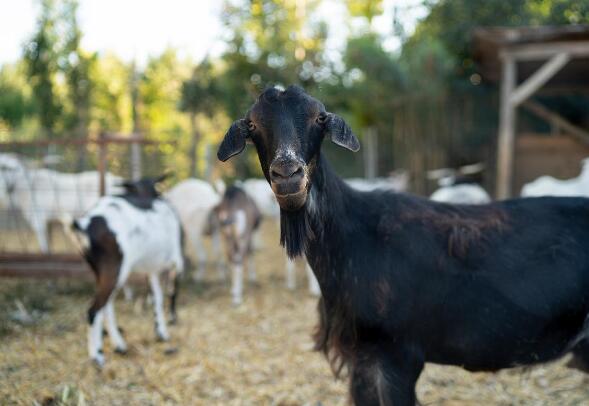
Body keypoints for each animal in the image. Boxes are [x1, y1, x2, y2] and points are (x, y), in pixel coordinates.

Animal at [217, 85, 589, 402]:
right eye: (252, 124)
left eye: (319, 118)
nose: (288, 175)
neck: (354, 235)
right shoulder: (361, 360)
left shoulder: (396, 355)